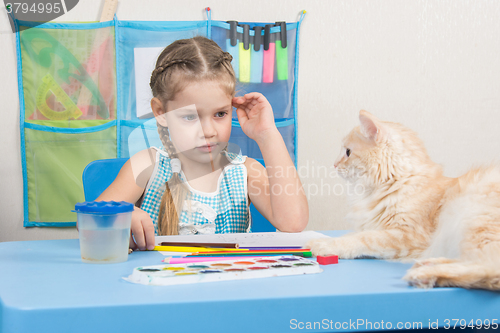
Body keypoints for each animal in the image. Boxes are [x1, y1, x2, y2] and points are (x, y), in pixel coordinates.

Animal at [306, 110, 500, 290]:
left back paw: (423, 274)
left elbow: (364, 238)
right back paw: (428, 265)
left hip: (475, 222)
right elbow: (354, 234)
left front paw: (325, 244)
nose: (334, 164)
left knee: (488, 267)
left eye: (347, 152)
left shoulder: (409, 234)